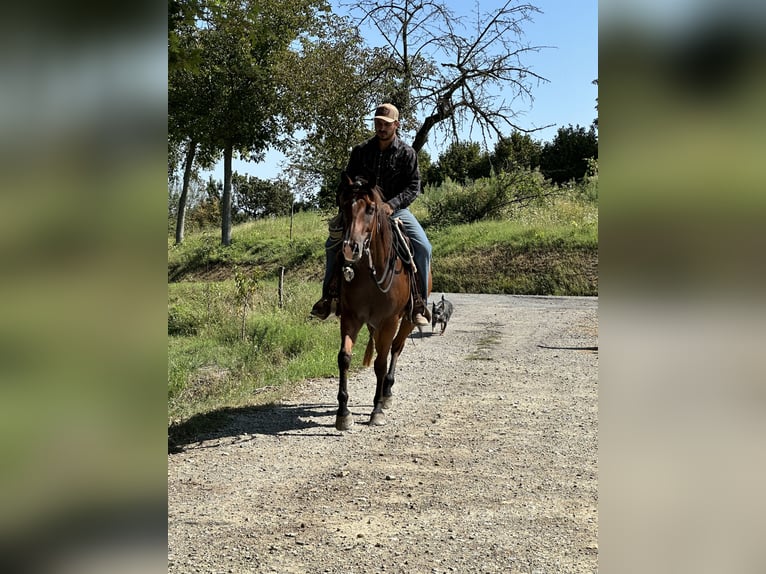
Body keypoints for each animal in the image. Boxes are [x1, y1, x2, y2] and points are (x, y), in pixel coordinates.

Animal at [333, 174, 432, 430]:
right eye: (344, 206)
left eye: (370, 209)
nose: (350, 248)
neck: (371, 272)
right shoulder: (351, 317)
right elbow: (344, 358)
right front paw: (343, 413)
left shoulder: (390, 320)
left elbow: (381, 362)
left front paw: (376, 410)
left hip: (406, 321)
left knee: (395, 349)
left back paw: (386, 394)